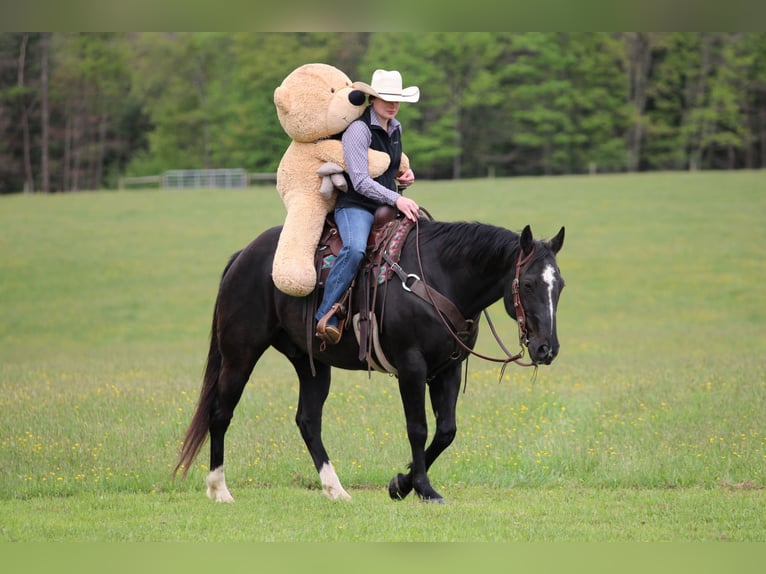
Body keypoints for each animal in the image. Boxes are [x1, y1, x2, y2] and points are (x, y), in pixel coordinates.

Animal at [174, 217, 565, 504]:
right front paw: (422, 489)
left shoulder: (448, 368)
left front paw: (401, 483)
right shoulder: (411, 367)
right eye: (528, 284)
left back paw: (336, 490)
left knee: (308, 421)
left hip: (311, 364)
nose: (546, 349)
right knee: (220, 414)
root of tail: (243, 256)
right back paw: (219, 490)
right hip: (240, 355)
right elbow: (418, 428)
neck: (440, 277)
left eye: (559, 285)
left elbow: (446, 431)